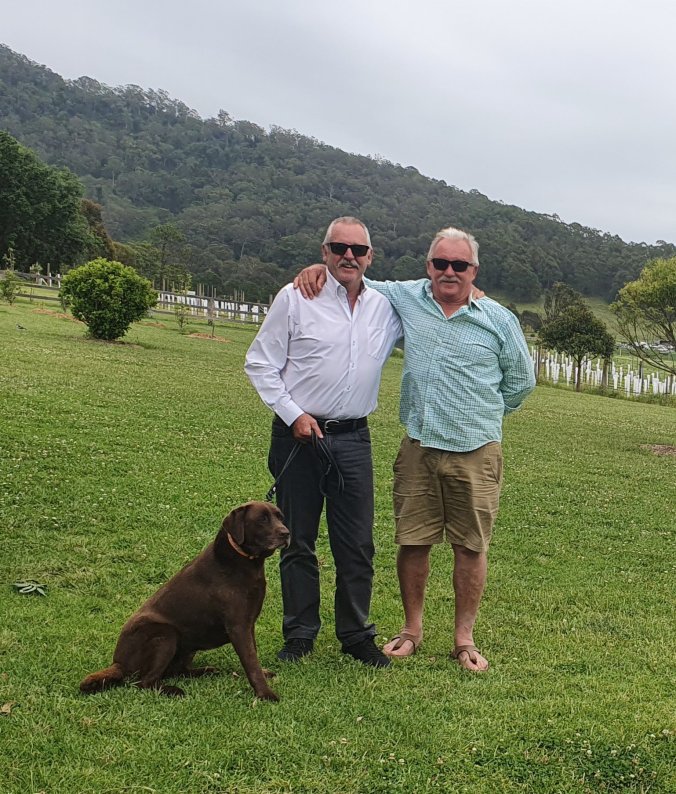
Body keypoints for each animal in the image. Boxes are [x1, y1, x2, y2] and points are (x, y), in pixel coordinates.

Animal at [79, 501, 290, 700]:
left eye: (280, 517)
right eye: (262, 519)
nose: (286, 533)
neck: (245, 562)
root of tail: (118, 662)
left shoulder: (248, 623)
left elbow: (253, 654)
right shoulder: (238, 626)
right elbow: (251, 661)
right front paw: (265, 694)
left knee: (176, 671)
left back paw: (206, 671)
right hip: (165, 635)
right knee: (145, 682)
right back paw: (173, 690)